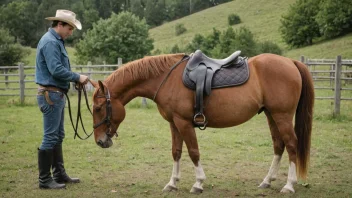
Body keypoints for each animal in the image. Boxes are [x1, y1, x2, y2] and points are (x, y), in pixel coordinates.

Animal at [89, 52, 314, 193]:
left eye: (98, 108)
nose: (100, 141)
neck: (166, 78)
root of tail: (291, 62)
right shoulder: (174, 123)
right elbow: (176, 152)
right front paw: (172, 183)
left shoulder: (184, 123)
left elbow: (193, 152)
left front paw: (198, 183)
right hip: (271, 115)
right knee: (279, 145)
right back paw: (267, 181)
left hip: (282, 115)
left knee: (291, 145)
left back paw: (289, 185)